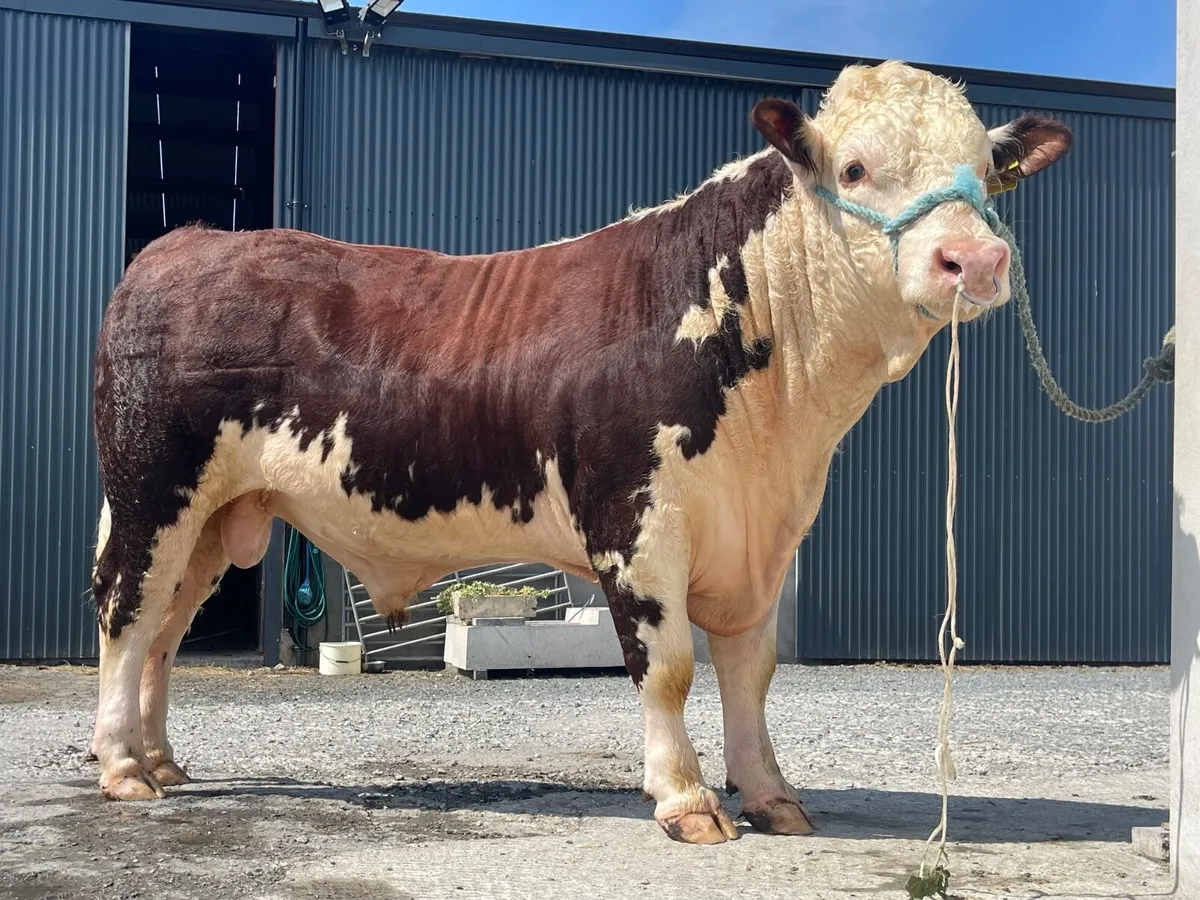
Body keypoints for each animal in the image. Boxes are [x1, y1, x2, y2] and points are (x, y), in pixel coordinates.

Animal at [87, 59, 1071, 845]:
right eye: (857, 167)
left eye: (990, 174)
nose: (974, 261)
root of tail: (184, 245)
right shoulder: (634, 520)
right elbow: (669, 667)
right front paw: (686, 802)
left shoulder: (762, 538)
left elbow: (750, 676)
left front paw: (771, 796)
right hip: (151, 492)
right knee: (127, 617)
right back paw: (121, 768)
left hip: (215, 519)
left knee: (166, 628)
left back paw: (161, 759)